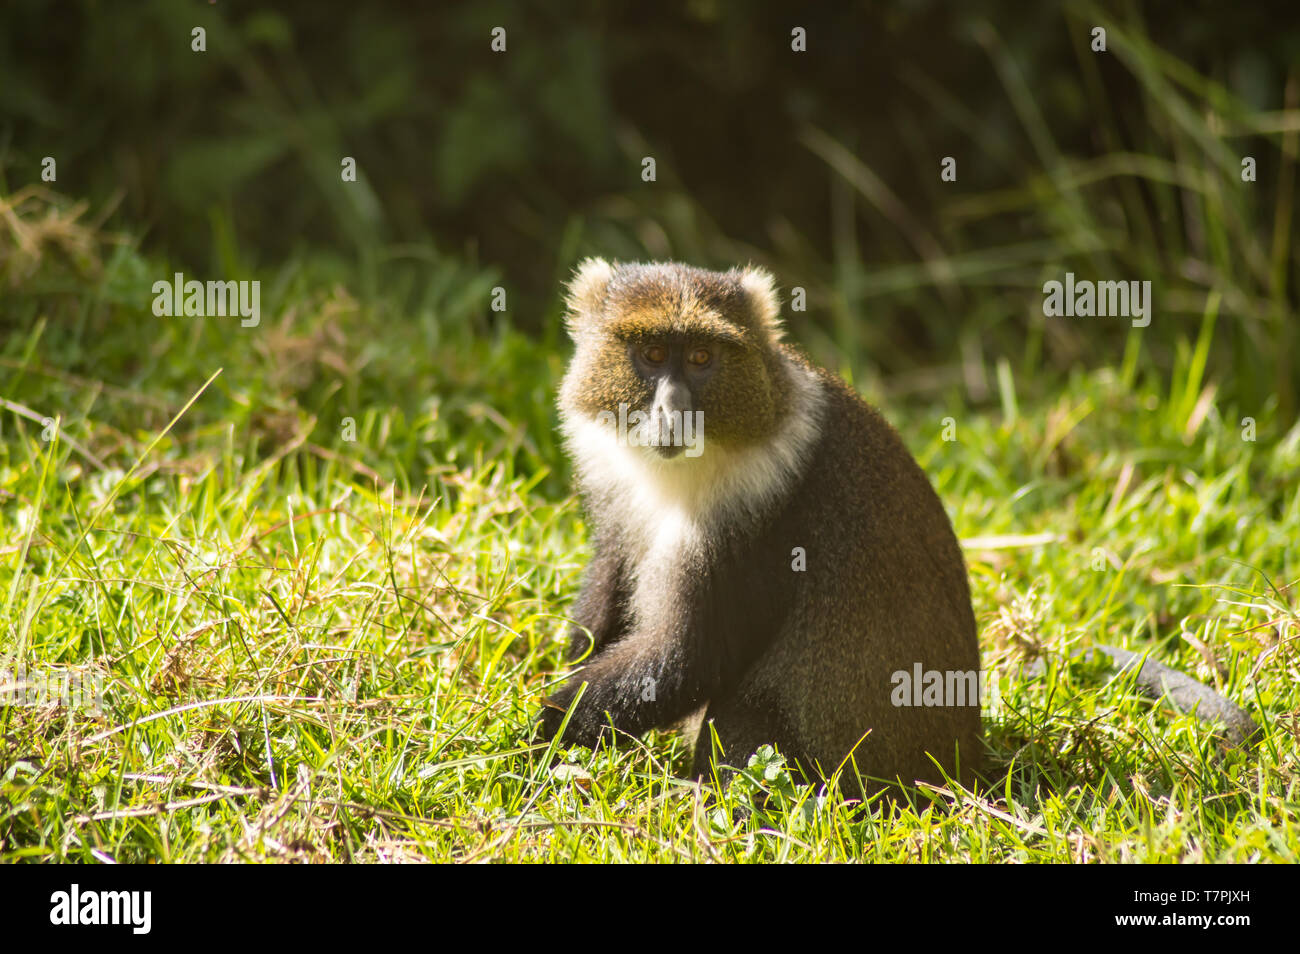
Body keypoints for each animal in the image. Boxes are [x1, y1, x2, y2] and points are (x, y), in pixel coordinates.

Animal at [538, 257, 1258, 805]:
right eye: (651, 353)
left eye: (701, 356)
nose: (673, 412)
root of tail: (967, 761)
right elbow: (609, 591)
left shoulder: (761, 511)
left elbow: (690, 654)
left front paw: (538, 729)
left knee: (746, 714)